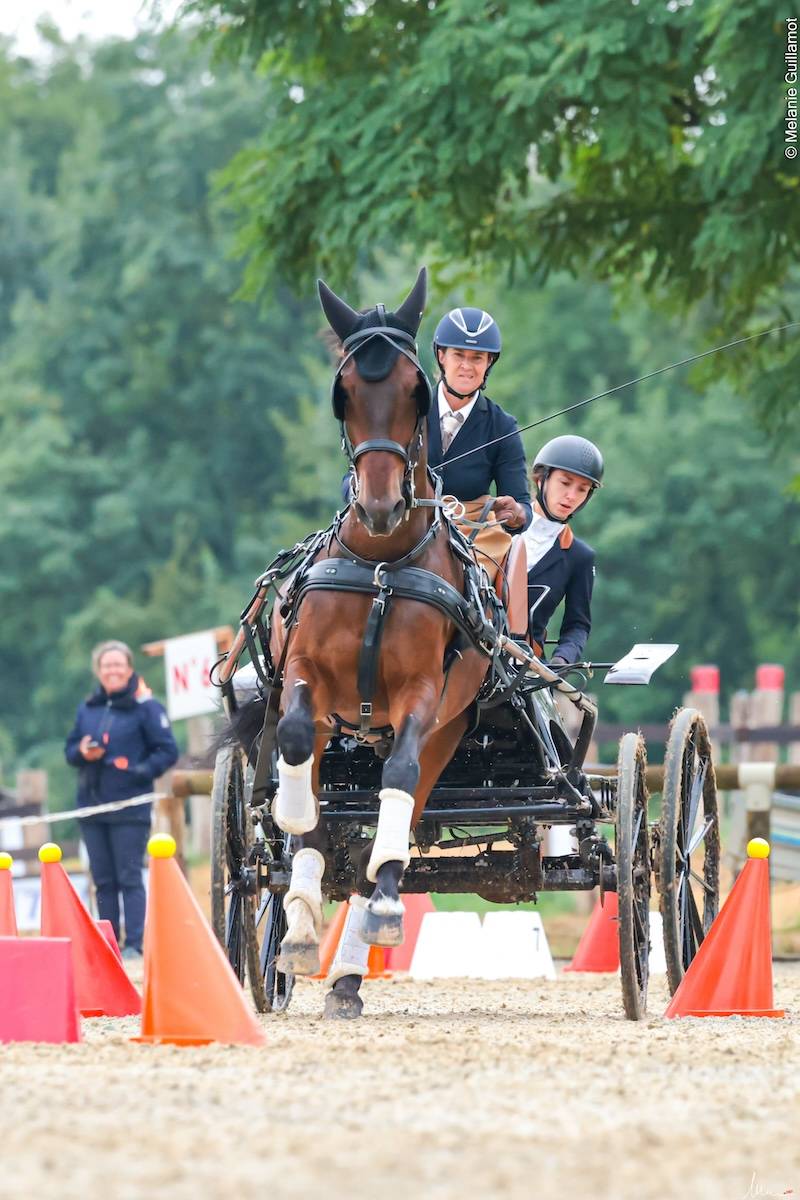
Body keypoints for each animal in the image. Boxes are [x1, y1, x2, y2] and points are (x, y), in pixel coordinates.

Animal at [262, 270, 496, 1012]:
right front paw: (295, 826)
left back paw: (353, 958)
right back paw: (301, 927)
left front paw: (384, 908)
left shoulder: (421, 696)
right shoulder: (306, 676)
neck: (383, 564)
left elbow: (395, 787)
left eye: (416, 390)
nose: (382, 505)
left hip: (445, 730)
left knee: (399, 808)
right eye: (344, 394)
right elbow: (297, 757)